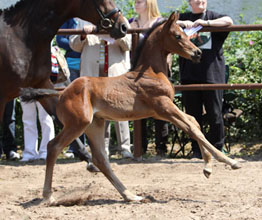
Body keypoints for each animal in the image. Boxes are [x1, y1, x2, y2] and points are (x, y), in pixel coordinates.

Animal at [0, 0, 127, 165]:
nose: (123, 26)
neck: (22, 38)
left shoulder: (40, 86)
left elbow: (60, 117)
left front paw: (87, 158)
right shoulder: (2, 97)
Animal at [21, 12, 241, 204]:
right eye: (178, 35)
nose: (197, 53)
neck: (151, 72)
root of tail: (61, 93)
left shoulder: (161, 112)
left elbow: (194, 123)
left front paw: (208, 167)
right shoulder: (163, 107)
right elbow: (192, 128)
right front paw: (229, 162)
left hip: (94, 124)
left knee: (100, 159)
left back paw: (131, 196)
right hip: (78, 123)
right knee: (53, 147)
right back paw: (48, 196)